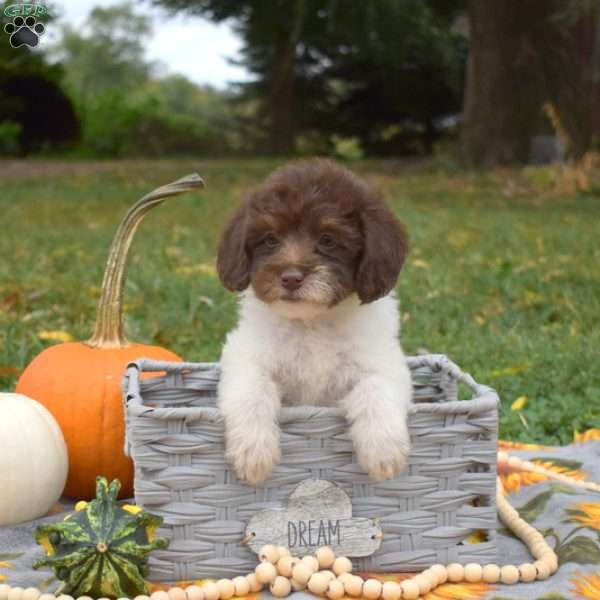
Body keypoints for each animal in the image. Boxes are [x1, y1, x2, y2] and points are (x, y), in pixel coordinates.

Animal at [216, 158, 412, 482]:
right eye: (271, 239)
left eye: (328, 239)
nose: (291, 278)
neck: (311, 322)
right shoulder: (246, 357)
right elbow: (252, 391)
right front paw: (253, 452)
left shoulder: (383, 361)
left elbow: (375, 389)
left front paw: (383, 451)